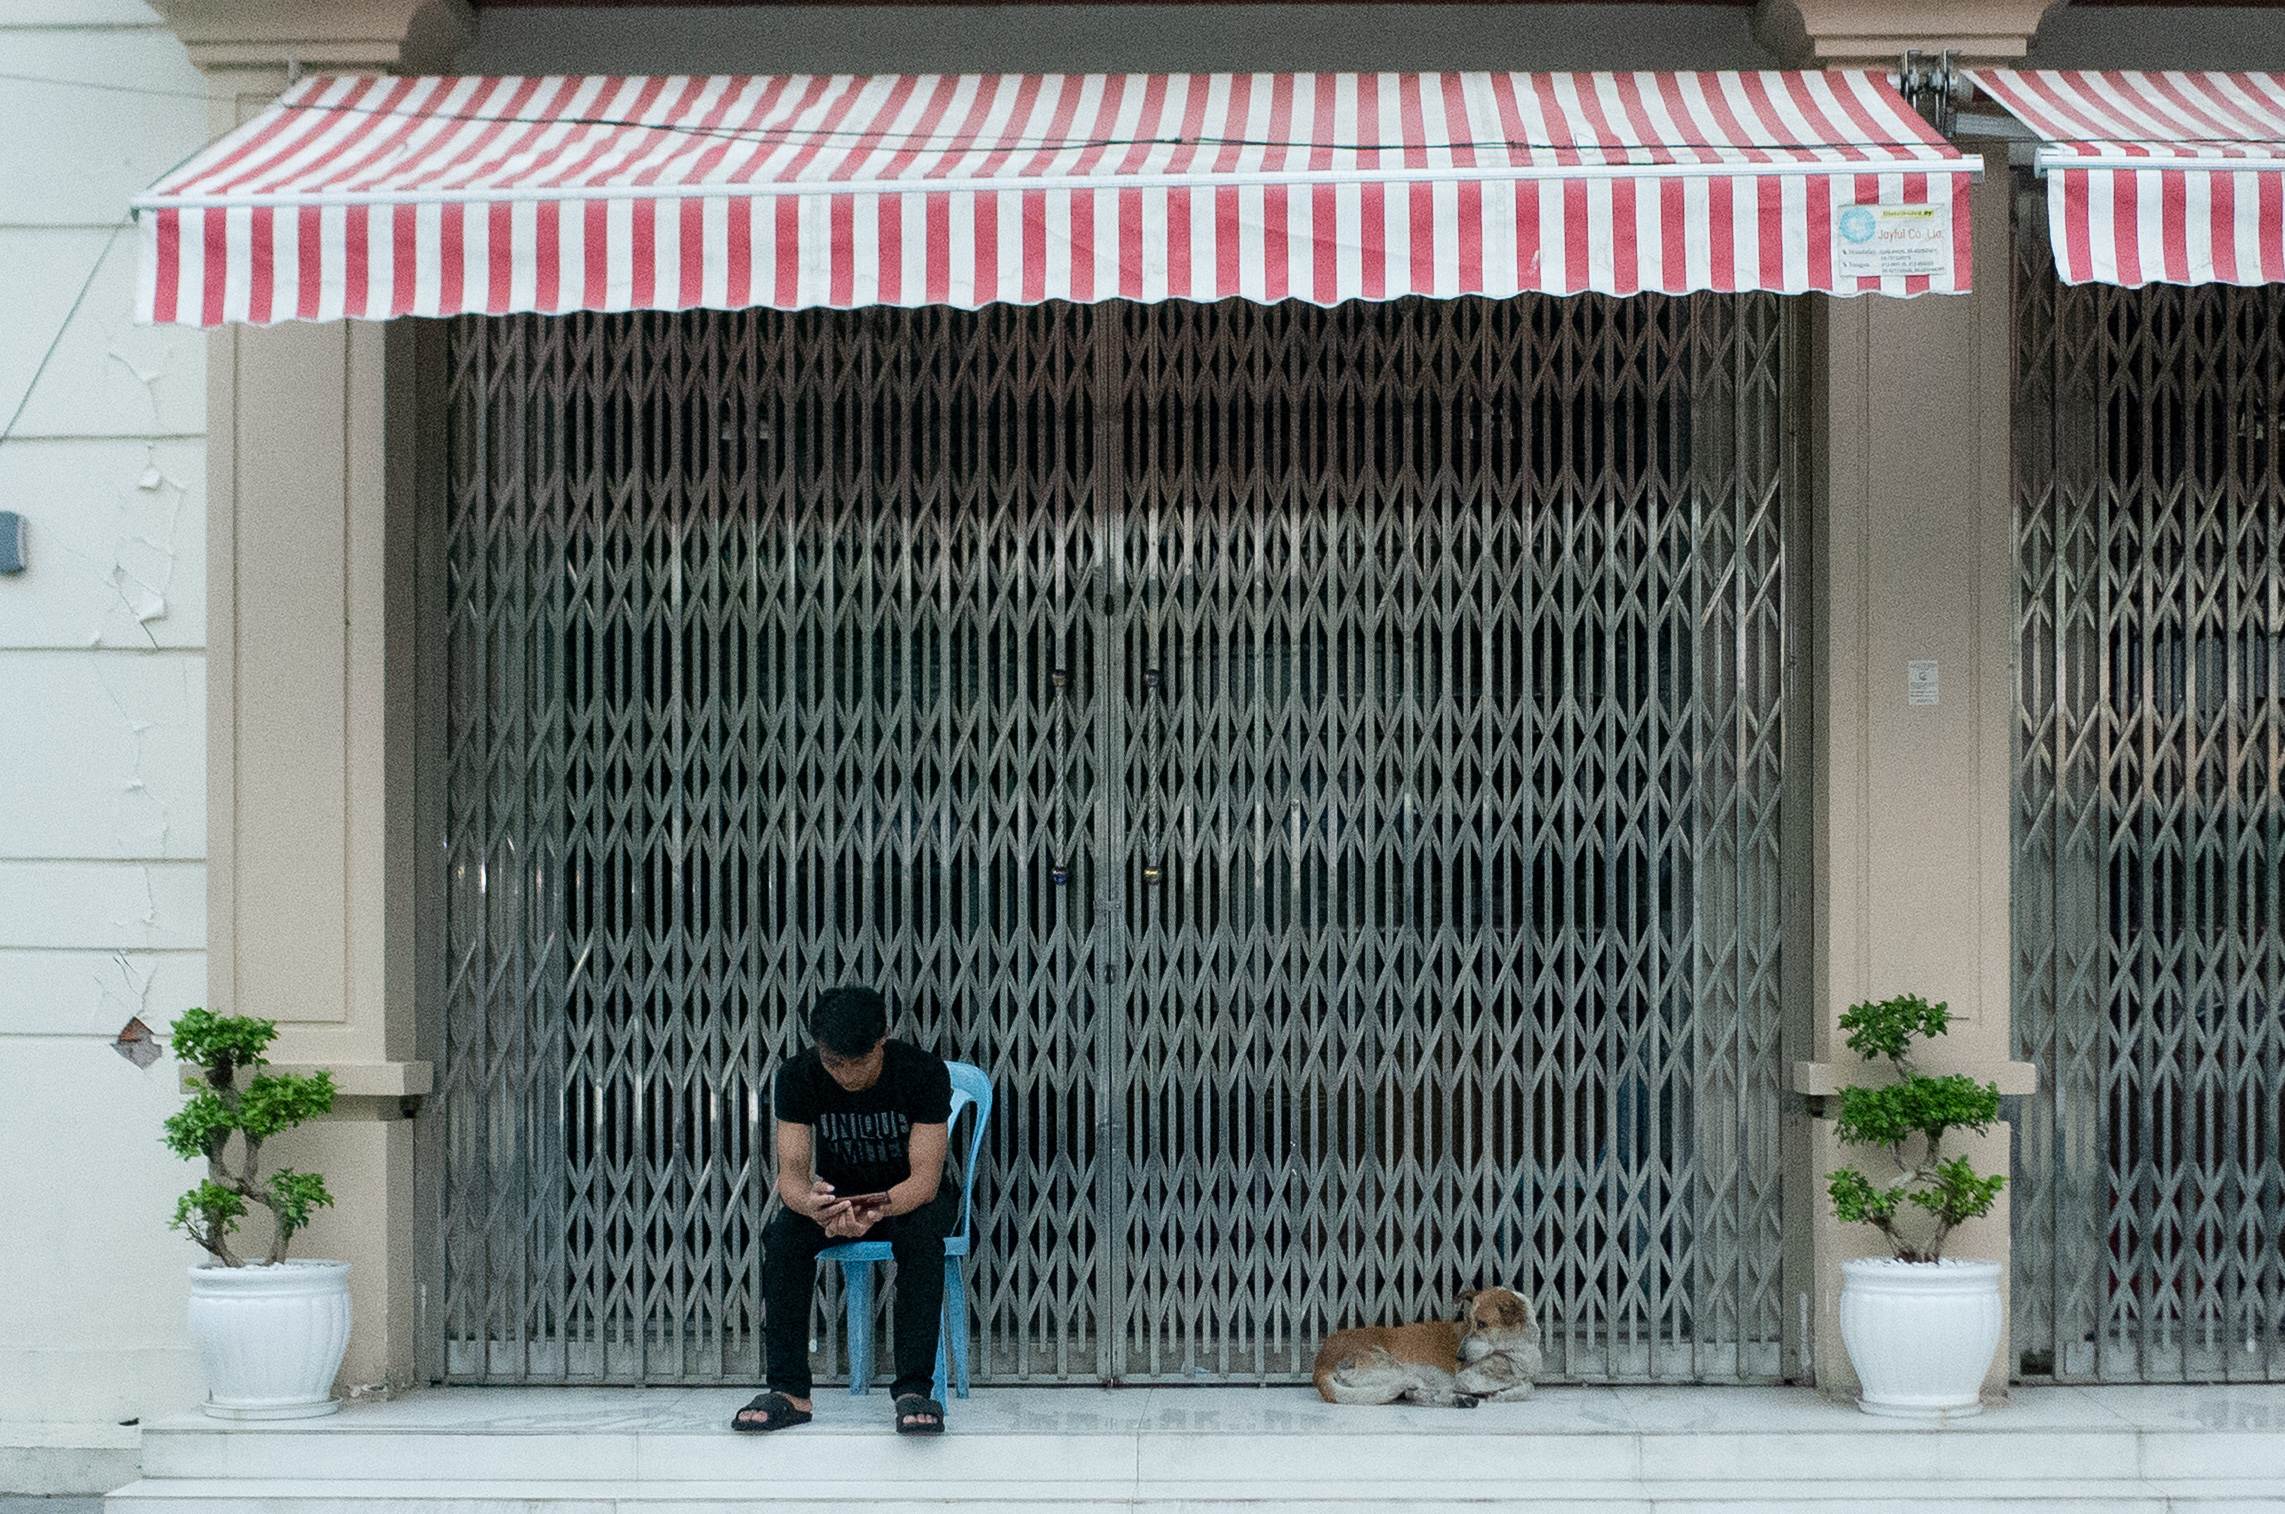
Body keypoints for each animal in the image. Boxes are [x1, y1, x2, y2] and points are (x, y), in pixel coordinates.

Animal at [1312, 1286, 1543, 1406]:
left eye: (1482, 1324)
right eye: (1470, 1322)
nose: (1459, 1357)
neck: (1515, 1352)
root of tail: (1320, 1363)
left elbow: (1527, 1385)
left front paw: (1503, 1394)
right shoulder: (1465, 1378)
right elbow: (1526, 1385)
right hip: (1400, 1369)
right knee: (1415, 1391)